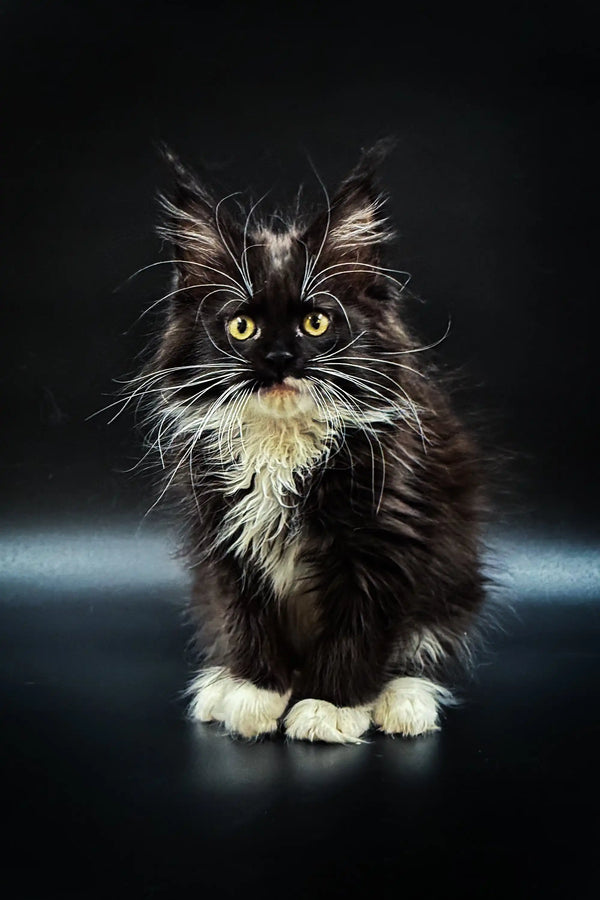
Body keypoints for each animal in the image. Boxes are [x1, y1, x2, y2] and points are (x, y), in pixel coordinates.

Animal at [136, 144, 488, 740]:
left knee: (421, 648)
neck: (283, 443)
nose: (281, 358)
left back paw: (404, 702)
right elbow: (246, 618)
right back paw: (221, 685)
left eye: (317, 323)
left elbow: (357, 631)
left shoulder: (385, 534)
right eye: (243, 327)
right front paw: (255, 692)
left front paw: (329, 707)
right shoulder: (225, 538)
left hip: (454, 577)